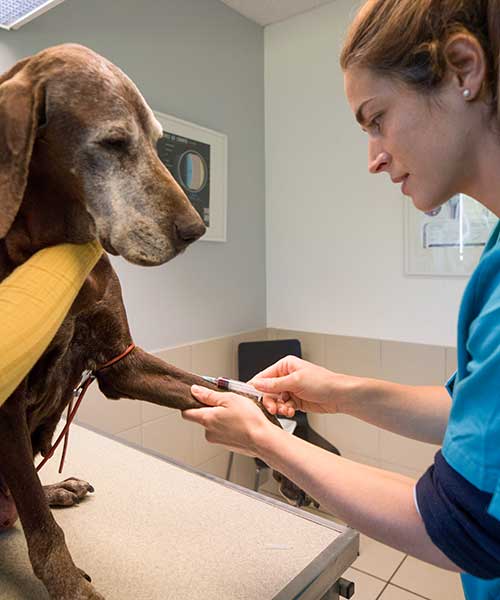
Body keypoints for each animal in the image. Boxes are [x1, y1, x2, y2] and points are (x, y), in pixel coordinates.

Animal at [0, 44, 312, 596]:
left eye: (159, 142)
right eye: (113, 142)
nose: (194, 230)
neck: (54, 249)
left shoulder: (122, 363)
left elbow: (234, 397)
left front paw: (284, 455)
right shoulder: (7, 402)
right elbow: (40, 525)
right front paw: (70, 585)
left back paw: (59, 487)